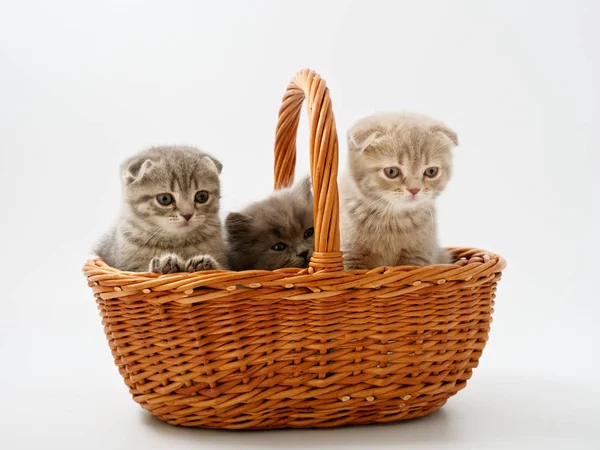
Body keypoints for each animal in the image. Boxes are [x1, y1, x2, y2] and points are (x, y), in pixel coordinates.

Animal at [96, 147, 227, 274]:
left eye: (202, 196)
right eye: (164, 198)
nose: (187, 215)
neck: (176, 242)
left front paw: (203, 264)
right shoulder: (128, 267)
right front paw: (165, 263)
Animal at [340, 112, 458, 268]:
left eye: (431, 171)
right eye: (392, 172)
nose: (414, 189)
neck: (393, 220)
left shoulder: (418, 257)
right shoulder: (350, 256)